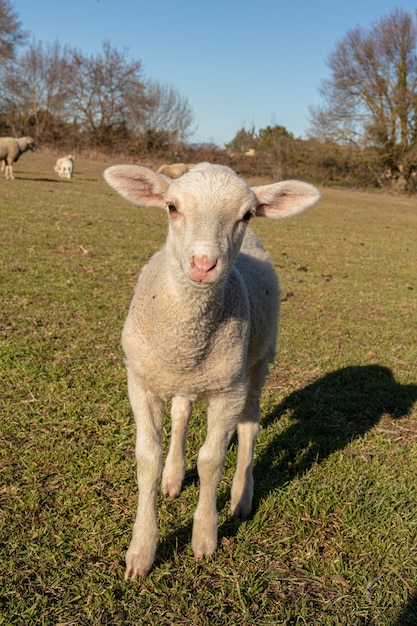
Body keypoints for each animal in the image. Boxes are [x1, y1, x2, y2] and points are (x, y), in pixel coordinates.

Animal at [102, 161, 320, 576]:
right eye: (171, 207)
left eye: (247, 214)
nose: (203, 265)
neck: (187, 337)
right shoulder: (141, 382)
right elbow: (147, 459)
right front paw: (142, 550)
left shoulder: (227, 391)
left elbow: (211, 460)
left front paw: (204, 537)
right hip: (185, 378)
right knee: (182, 412)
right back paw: (174, 476)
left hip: (257, 361)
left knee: (250, 425)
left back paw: (241, 497)